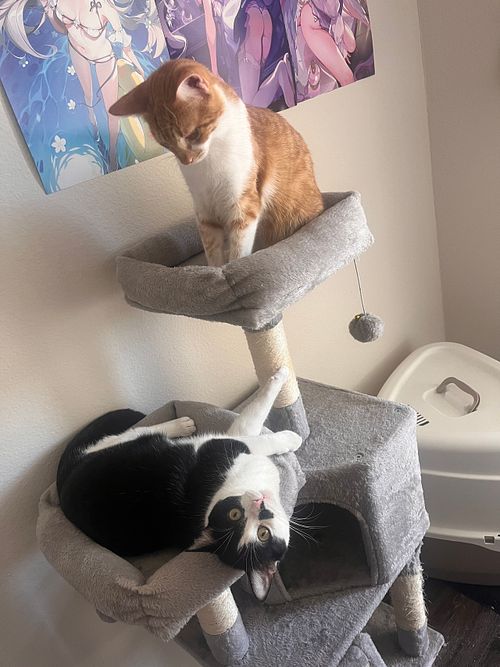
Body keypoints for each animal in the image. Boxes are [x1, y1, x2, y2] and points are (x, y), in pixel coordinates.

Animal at [57, 367, 301, 601]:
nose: (259, 504)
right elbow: (257, 421)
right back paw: (182, 425)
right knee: (139, 430)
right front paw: (290, 429)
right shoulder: (227, 444)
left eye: (263, 534)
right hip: (122, 445)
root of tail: (62, 489)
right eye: (234, 515)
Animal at [109, 59, 324, 266]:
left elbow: (238, 250)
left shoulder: (243, 205)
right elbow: (212, 249)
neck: (210, 161)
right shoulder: (204, 211)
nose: (187, 161)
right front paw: (215, 271)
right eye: (165, 144)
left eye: (193, 134)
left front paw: (232, 268)